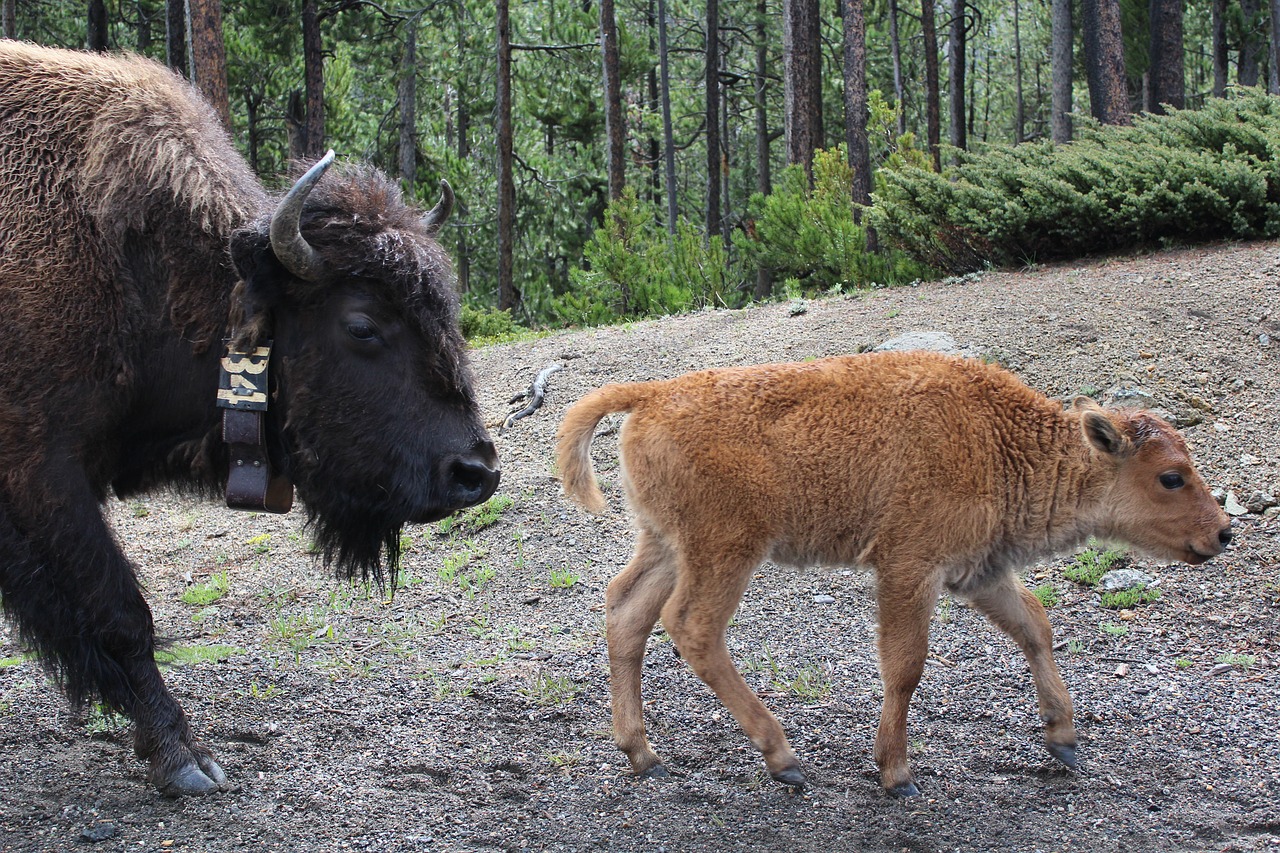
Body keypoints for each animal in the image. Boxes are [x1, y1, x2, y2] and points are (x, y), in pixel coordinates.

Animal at [0, 43, 499, 794]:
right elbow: (119, 612)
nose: (475, 471)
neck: (136, 267)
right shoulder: (40, 472)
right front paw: (186, 760)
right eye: (361, 324)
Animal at [558, 348, 1228, 794]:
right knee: (692, 626)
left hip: (666, 545)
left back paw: (643, 753)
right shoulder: (910, 568)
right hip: (725, 550)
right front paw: (896, 772)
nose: (1223, 532)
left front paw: (1063, 739)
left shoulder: (978, 571)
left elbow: (1034, 625)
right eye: (1171, 477)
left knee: (626, 610)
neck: (998, 439)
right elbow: (905, 664)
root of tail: (650, 395)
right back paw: (783, 758)